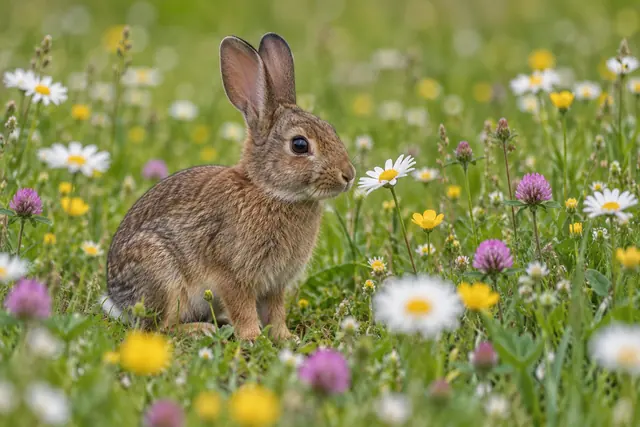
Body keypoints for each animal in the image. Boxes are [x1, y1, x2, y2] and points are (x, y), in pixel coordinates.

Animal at [105, 33, 356, 341]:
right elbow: (243, 308)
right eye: (299, 145)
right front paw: (252, 337)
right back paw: (201, 329)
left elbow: (276, 311)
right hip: (163, 277)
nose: (348, 175)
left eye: (331, 130)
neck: (269, 190)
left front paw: (285, 337)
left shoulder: (275, 284)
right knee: (160, 328)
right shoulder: (232, 275)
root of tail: (118, 299)